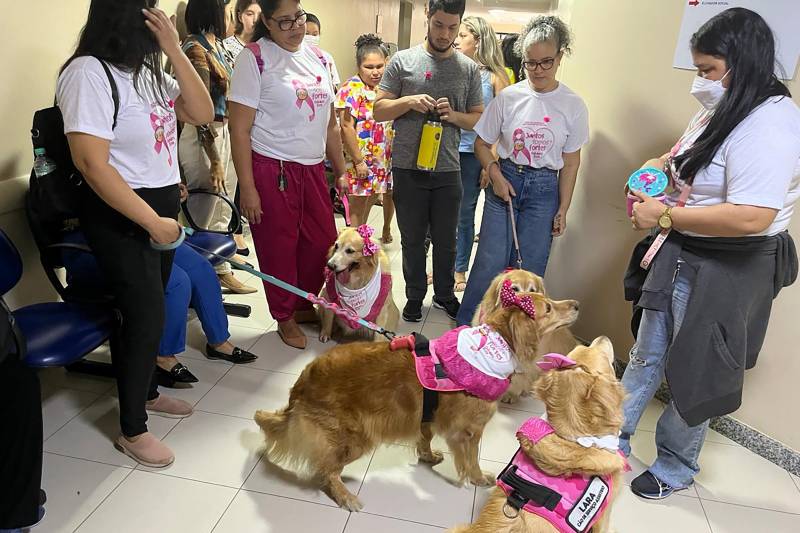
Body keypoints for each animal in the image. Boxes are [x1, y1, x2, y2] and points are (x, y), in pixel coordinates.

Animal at [255, 270, 576, 512]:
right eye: (548, 307)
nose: (575, 304)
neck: (493, 344)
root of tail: (303, 382)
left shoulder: (427, 413)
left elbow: (425, 438)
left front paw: (428, 456)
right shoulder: (468, 432)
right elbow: (471, 460)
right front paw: (478, 478)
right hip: (356, 437)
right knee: (325, 469)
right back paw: (345, 495)